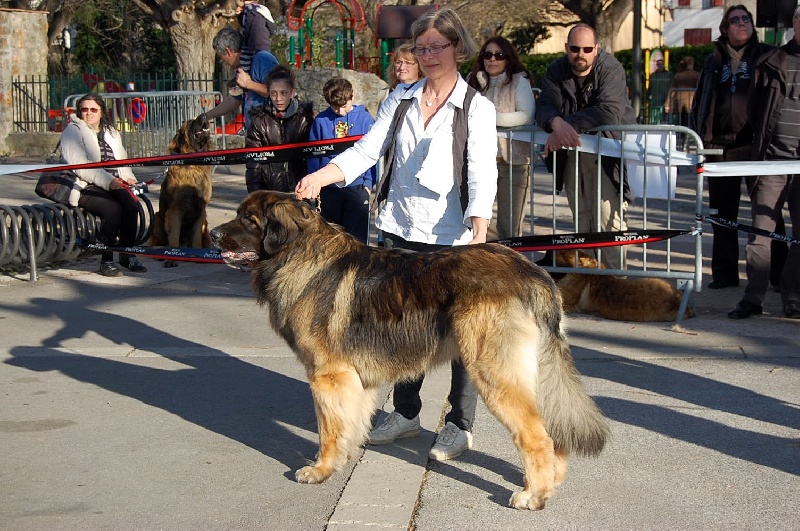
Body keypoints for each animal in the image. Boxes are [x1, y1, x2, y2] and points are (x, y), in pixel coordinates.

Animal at [150, 113, 213, 266]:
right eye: (190, 123)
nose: (205, 115)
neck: (194, 167)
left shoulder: (200, 210)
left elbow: (196, 238)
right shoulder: (175, 210)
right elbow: (173, 237)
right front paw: (171, 258)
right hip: (158, 217)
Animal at [210, 191, 609, 510]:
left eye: (248, 219)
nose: (212, 234)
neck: (299, 254)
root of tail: (532, 273)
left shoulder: (327, 376)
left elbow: (329, 430)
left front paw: (321, 470)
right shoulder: (355, 380)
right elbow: (351, 423)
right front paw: (345, 458)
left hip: (493, 371)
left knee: (536, 435)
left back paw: (534, 495)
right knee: (553, 429)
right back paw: (551, 482)